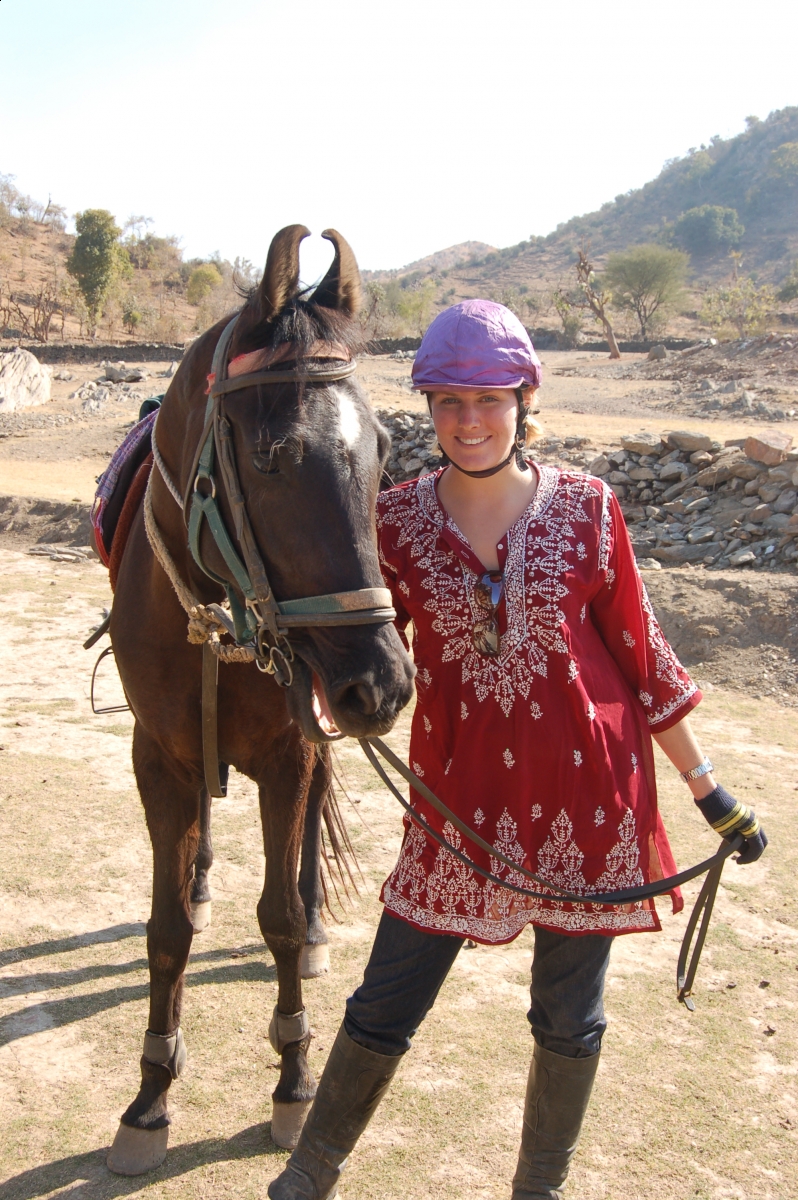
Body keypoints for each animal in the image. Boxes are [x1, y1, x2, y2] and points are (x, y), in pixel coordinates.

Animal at [105, 224, 415, 1175]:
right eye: (274, 456)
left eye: (383, 451)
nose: (383, 684)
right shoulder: (156, 757)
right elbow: (166, 928)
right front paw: (149, 1099)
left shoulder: (292, 751)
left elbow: (277, 913)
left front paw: (294, 1081)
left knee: (307, 850)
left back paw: (314, 930)